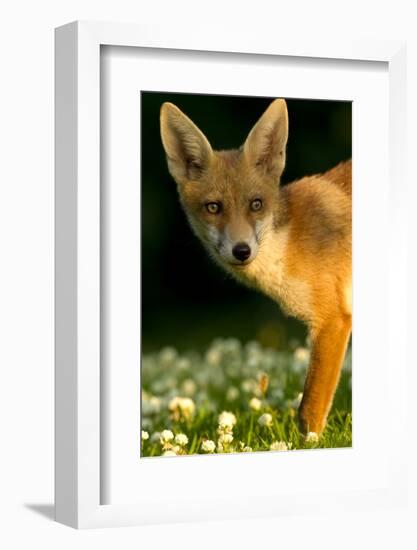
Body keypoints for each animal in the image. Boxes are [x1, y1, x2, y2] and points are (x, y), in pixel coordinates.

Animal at [159, 97, 352, 438]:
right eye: (214, 207)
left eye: (256, 204)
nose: (242, 251)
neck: (289, 245)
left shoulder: (333, 320)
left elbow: (309, 409)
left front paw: (308, 443)